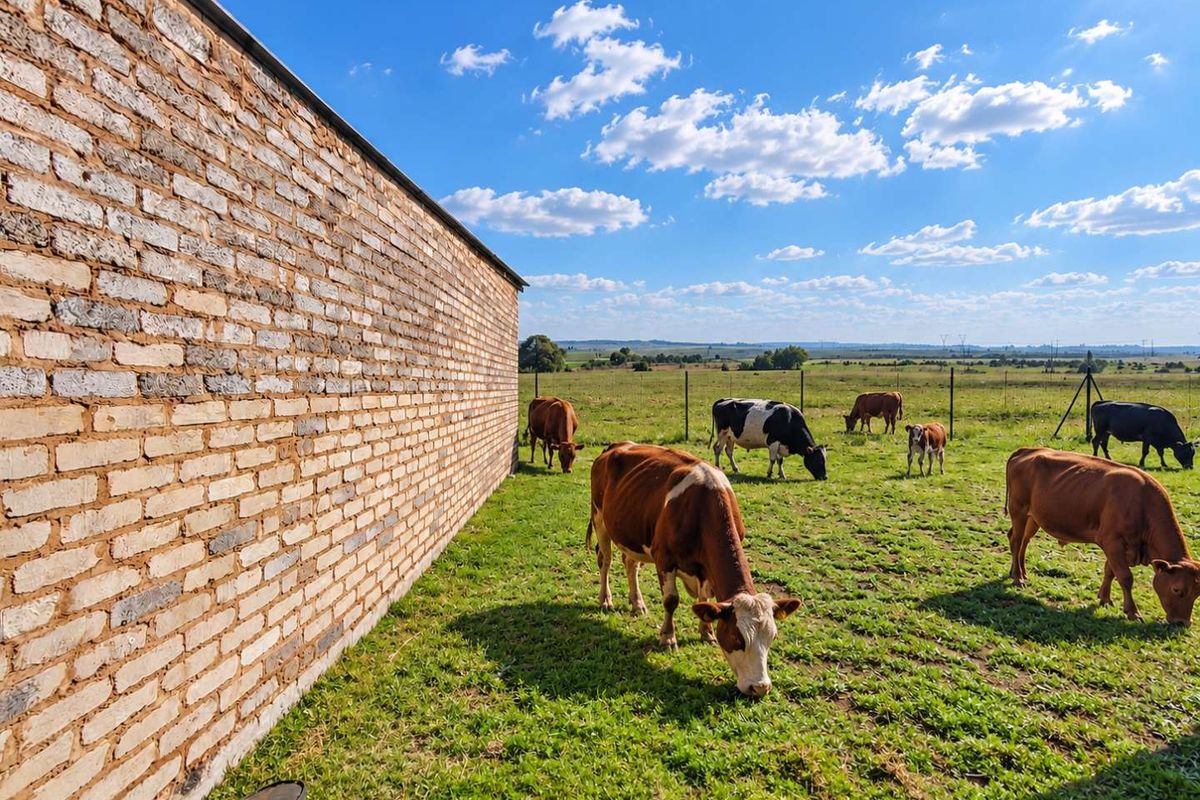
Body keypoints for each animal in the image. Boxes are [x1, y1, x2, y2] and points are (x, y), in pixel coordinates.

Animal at [587, 442, 802, 696]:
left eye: (772, 637)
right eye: (737, 638)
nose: (760, 688)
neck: (702, 508)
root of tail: (617, 445)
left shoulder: (705, 568)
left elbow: (704, 598)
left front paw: (706, 632)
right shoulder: (664, 558)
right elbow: (671, 601)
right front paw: (668, 637)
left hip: (632, 534)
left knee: (630, 564)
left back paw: (637, 603)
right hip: (600, 518)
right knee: (605, 560)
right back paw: (605, 599)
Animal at [1004, 447, 1200, 625]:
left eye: (1197, 593)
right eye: (1177, 589)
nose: (1182, 623)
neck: (1143, 503)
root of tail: (1027, 450)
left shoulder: (1119, 547)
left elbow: (1109, 571)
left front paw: (1105, 599)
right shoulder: (1112, 542)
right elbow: (1125, 577)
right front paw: (1133, 612)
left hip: (1034, 517)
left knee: (1023, 541)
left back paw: (1020, 572)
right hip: (1019, 510)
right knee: (1016, 541)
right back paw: (1018, 577)